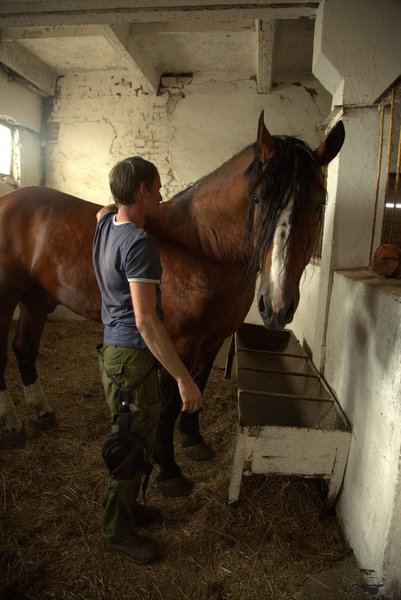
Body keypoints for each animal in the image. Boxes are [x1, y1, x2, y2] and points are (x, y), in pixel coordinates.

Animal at [0, 113, 344, 492]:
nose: (277, 305)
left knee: (24, 349)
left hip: (34, 300)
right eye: (258, 201)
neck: (202, 247)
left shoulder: (213, 339)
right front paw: (168, 468)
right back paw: (13, 425)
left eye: (318, 205)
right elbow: (170, 400)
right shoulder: (177, 341)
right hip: (5, 298)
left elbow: (199, 384)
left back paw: (42, 411)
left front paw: (193, 439)